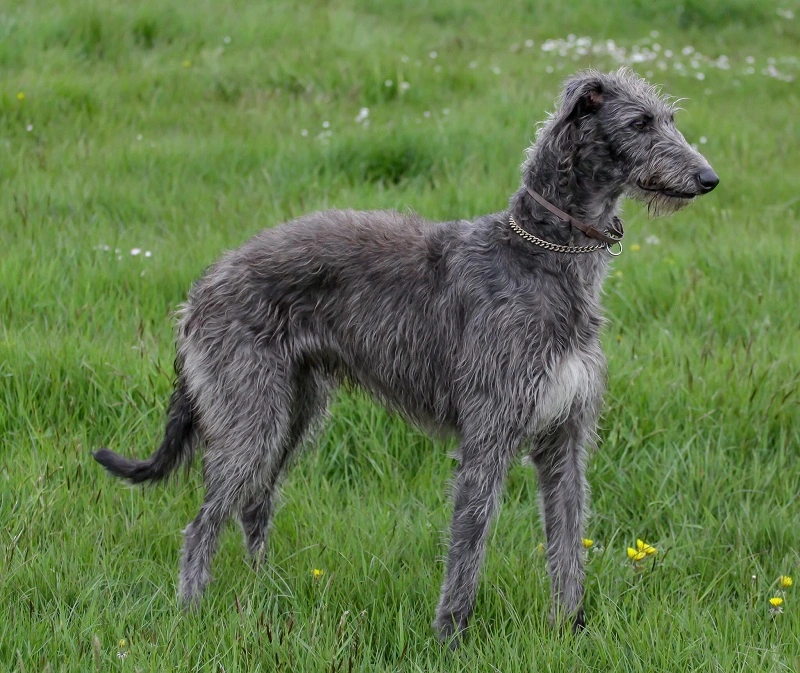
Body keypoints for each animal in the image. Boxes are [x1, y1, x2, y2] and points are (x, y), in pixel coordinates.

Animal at [94, 67, 720, 640]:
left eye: (671, 118)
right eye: (639, 123)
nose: (709, 178)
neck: (540, 254)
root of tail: (201, 288)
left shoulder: (565, 438)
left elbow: (568, 545)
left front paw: (571, 631)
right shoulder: (488, 435)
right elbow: (468, 548)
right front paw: (451, 638)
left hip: (294, 410)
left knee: (255, 503)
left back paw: (261, 587)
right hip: (251, 414)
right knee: (202, 524)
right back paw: (191, 615)